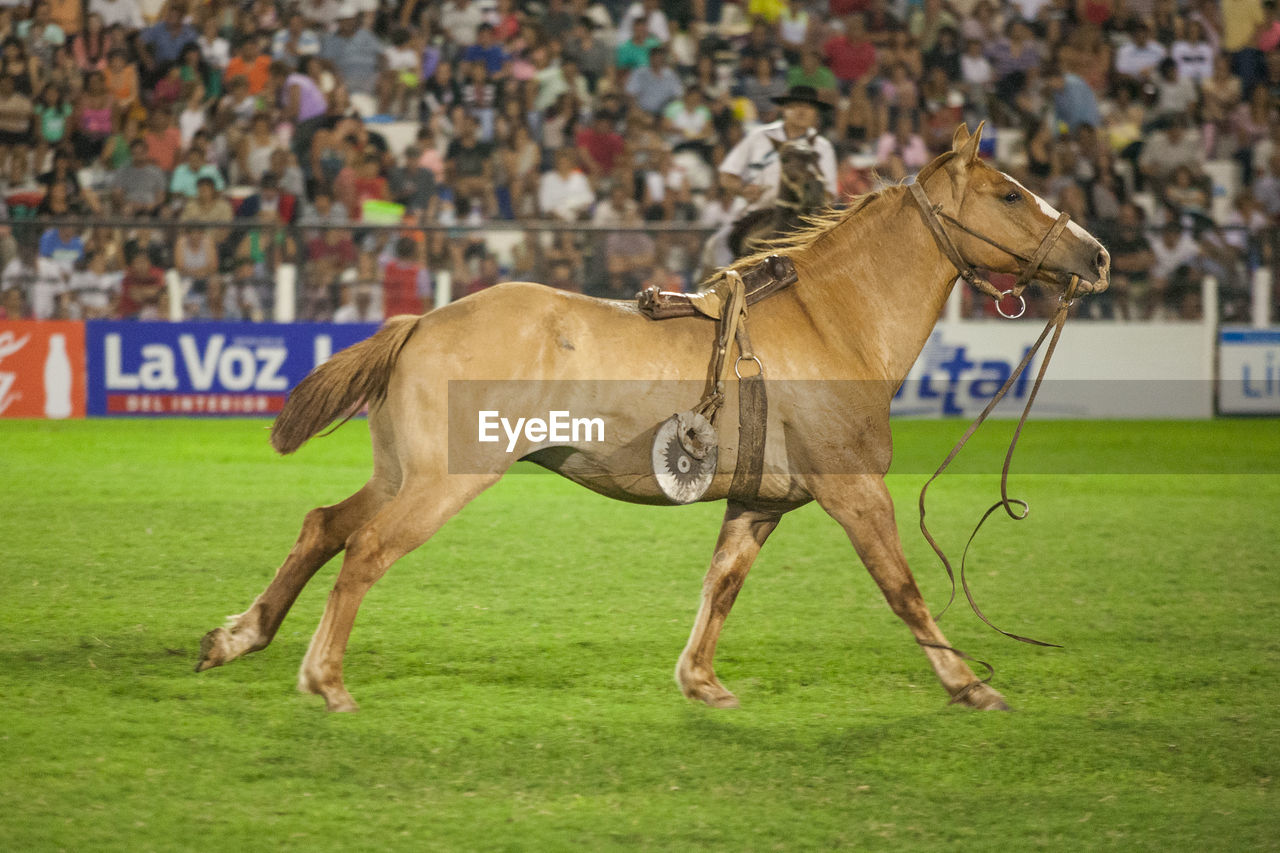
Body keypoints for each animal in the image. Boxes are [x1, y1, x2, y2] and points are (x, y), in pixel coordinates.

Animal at [194, 126, 1105, 712]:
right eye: (1010, 193)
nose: (1095, 254)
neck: (829, 322)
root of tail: (422, 320)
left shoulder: (760, 501)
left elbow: (722, 585)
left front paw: (700, 681)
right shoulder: (855, 491)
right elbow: (905, 589)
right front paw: (970, 682)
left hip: (399, 471)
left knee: (325, 525)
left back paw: (239, 635)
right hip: (444, 481)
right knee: (367, 550)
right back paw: (325, 678)